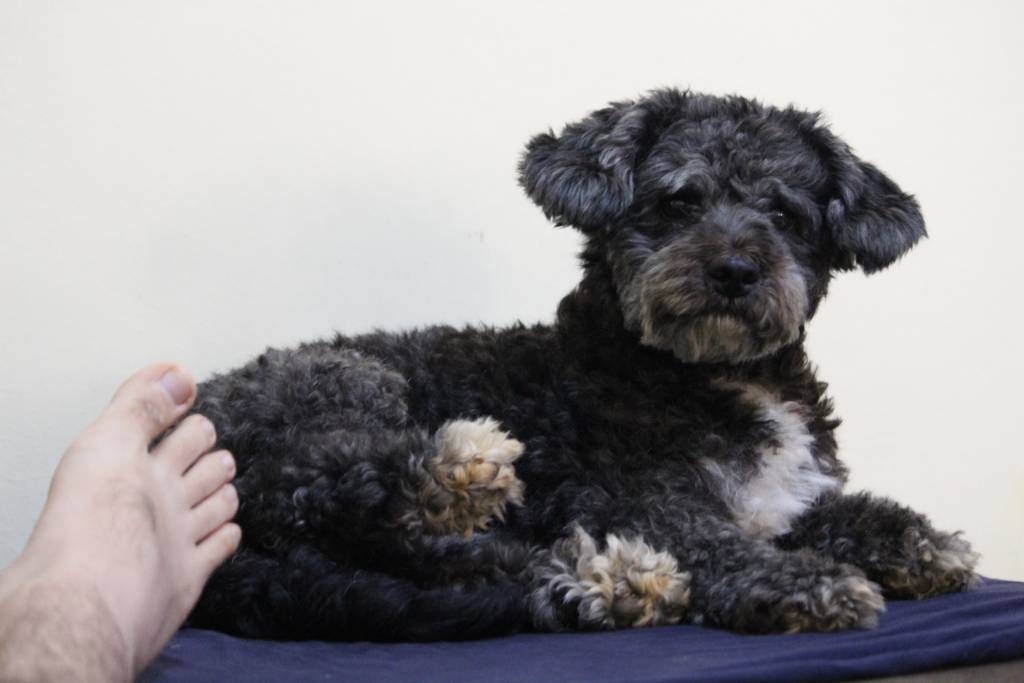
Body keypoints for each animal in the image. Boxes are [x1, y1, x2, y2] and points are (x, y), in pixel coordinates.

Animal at [188, 88, 979, 640]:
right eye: (679, 201)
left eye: (785, 215)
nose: (734, 270)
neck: (712, 374)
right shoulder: (629, 495)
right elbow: (715, 541)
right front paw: (803, 582)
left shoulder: (785, 500)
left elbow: (845, 508)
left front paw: (920, 541)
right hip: (343, 385)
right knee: (332, 490)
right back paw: (455, 470)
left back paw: (605, 580)